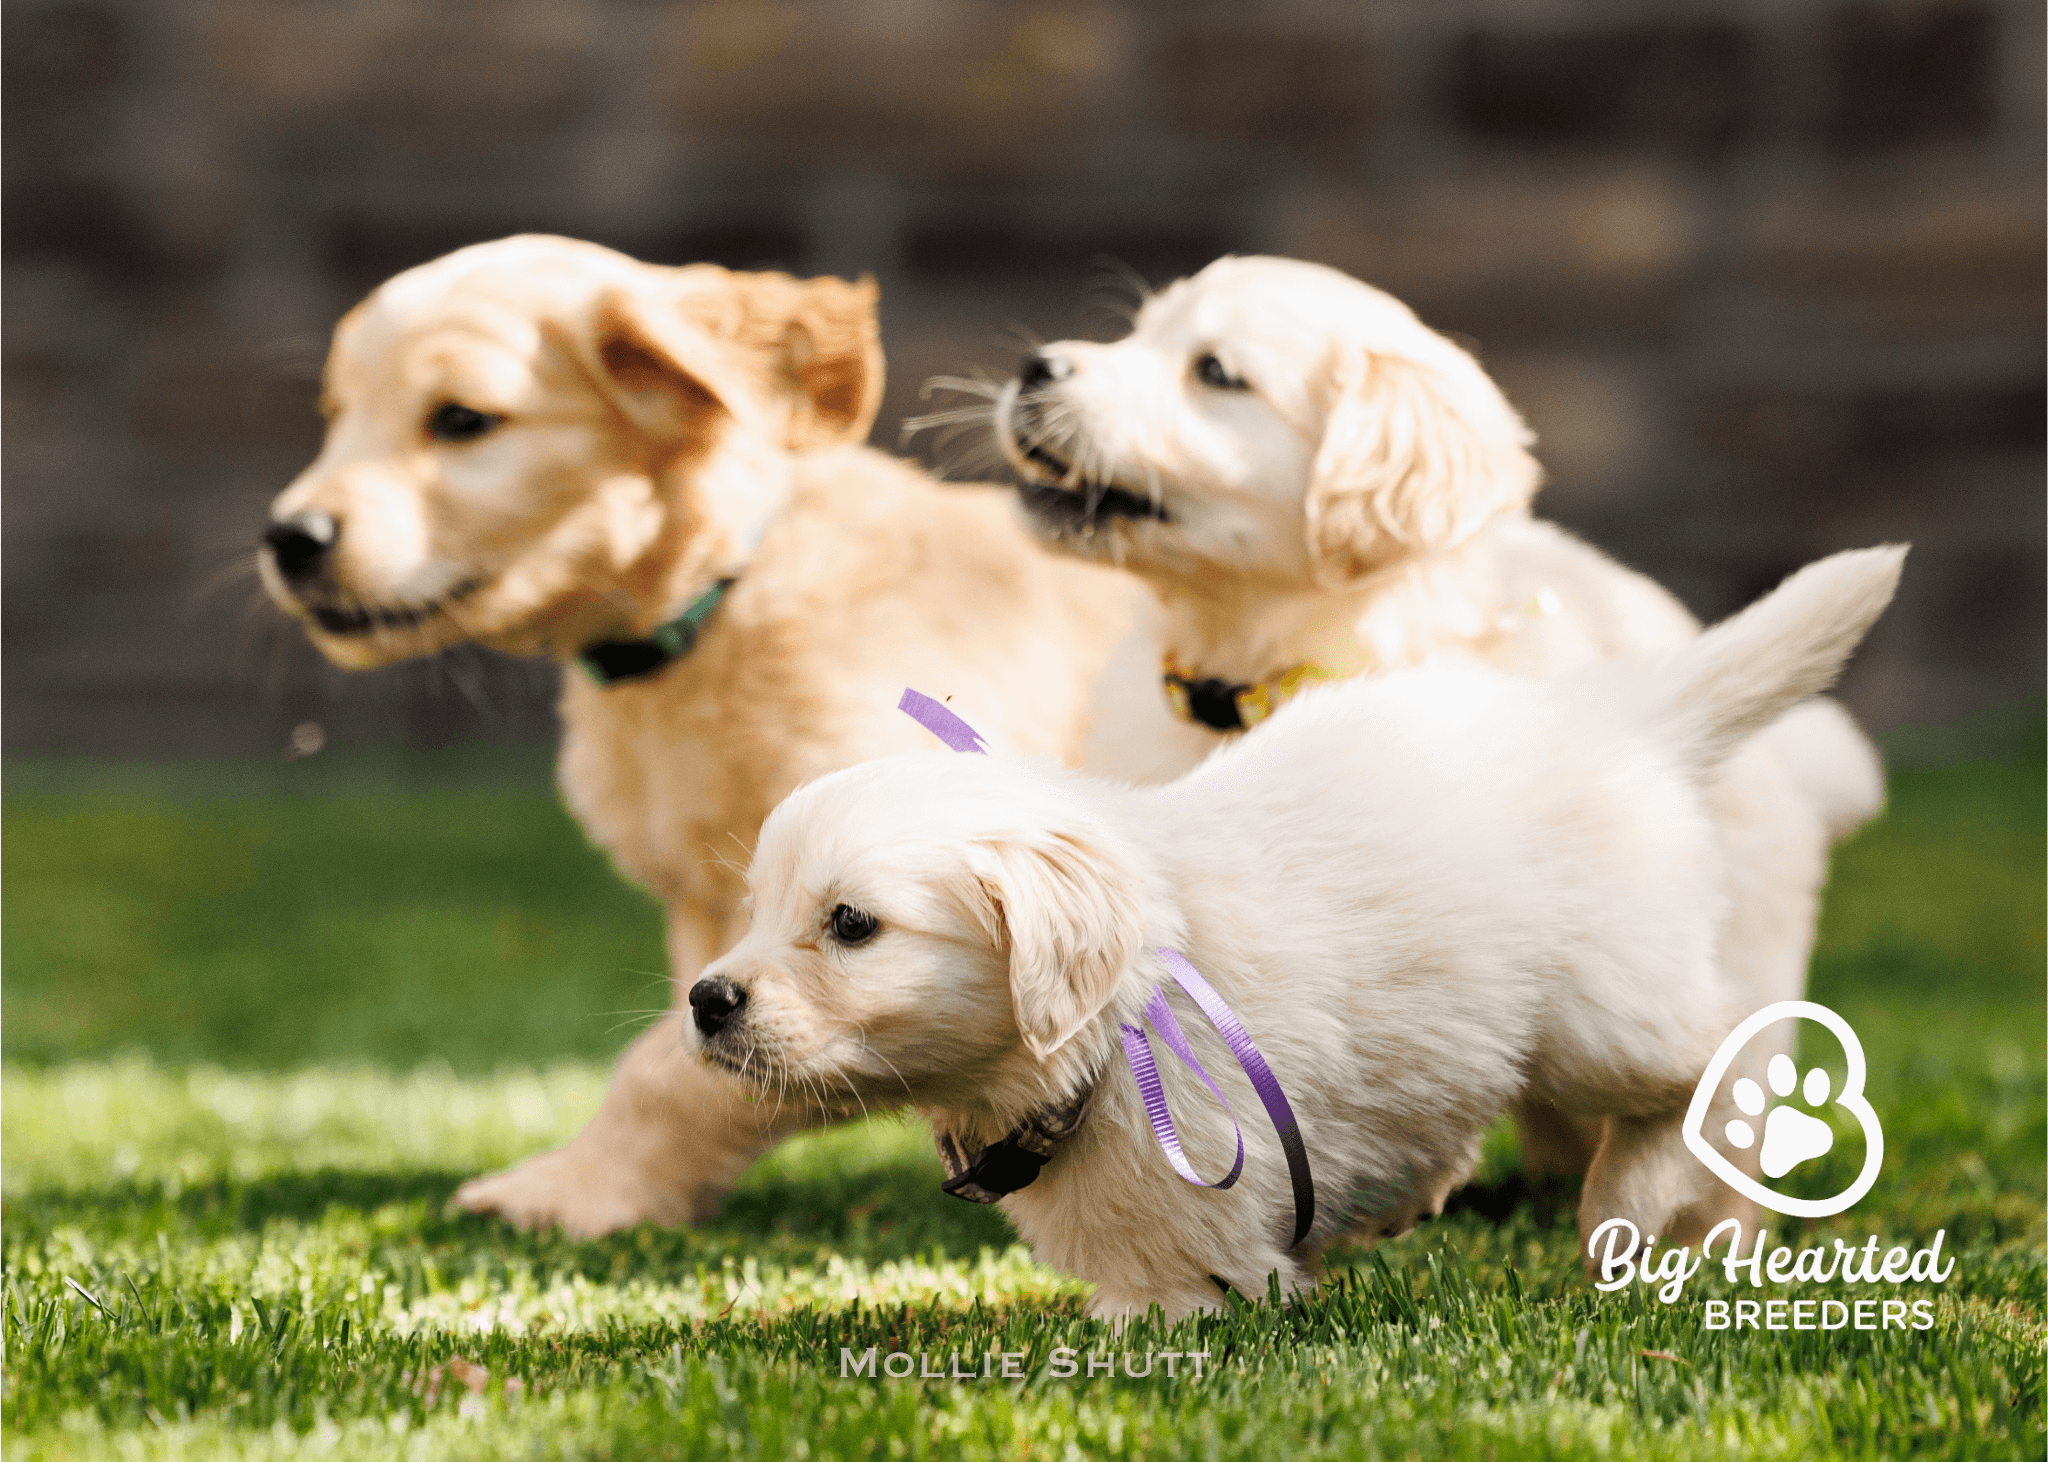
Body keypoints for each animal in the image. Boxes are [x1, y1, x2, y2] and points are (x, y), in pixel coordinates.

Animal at [262, 236, 1146, 1228]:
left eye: (461, 420)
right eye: (337, 414)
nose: (287, 538)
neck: (721, 597)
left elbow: (676, 1065)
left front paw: (570, 1191)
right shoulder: (708, 911)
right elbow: (700, 1034)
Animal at [692, 540, 1900, 1318]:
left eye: (852, 924)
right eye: (757, 910)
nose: (705, 999)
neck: (1118, 1024)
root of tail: (1614, 717)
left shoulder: (1205, 1244)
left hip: (1602, 1014)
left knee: (1724, 1055)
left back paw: (1628, 1207)